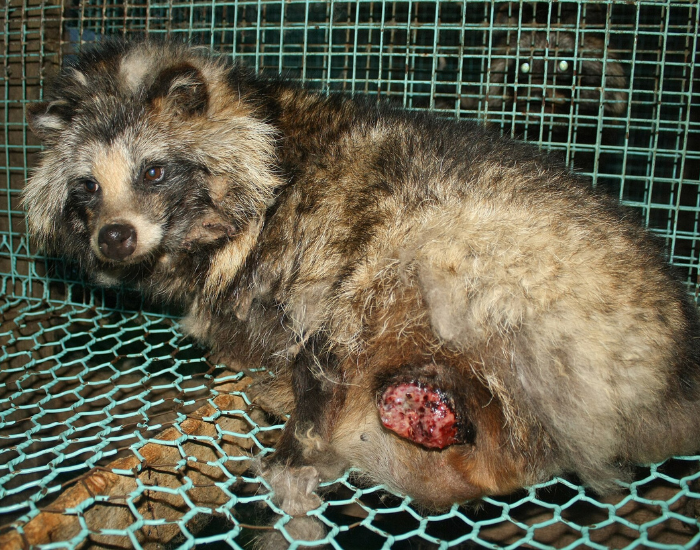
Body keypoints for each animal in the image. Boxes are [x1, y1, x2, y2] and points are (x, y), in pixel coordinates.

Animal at [24, 39, 700, 514]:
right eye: (86, 188)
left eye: (154, 171)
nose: (115, 237)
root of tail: (674, 372)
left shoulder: (309, 241)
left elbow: (320, 334)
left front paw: (301, 426)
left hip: (515, 270)